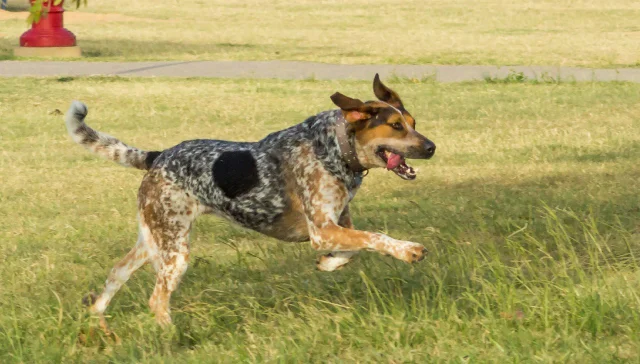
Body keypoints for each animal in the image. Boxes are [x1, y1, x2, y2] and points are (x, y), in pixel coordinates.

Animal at [66, 74, 436, 330]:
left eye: (414, 123)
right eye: (396, 126)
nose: (432, 147)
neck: (334, 148)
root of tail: (157, 156)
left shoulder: (336, 225)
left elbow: (354, 250)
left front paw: (328, 264)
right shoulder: (322, 230)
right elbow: (376, 238)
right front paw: (408, 250)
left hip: (153, 240)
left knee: (116, 273)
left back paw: (97, 322)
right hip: (175, 251)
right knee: (157, 300)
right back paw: (171, 337)